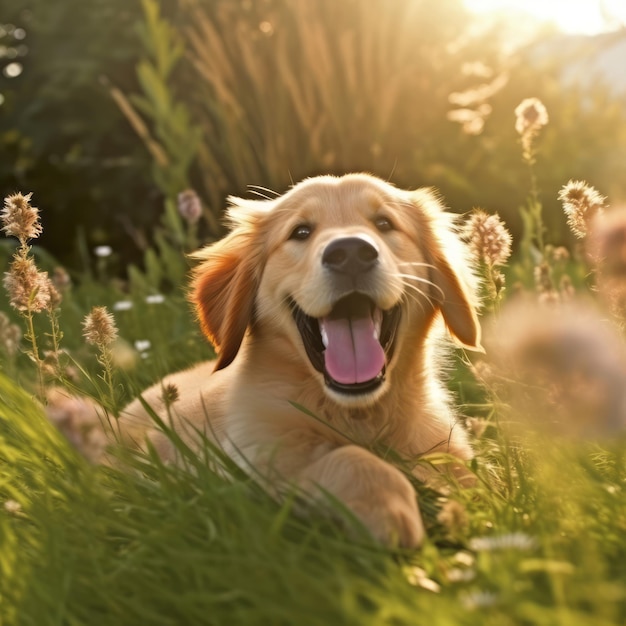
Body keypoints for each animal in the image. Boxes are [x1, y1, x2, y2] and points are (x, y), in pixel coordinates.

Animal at [117, 172, 480, 544]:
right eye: (301, 232)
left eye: (384, 223)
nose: (350, 252)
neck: (358, 413)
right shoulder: (251, 467)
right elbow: (343, 457)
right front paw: (390, 510)